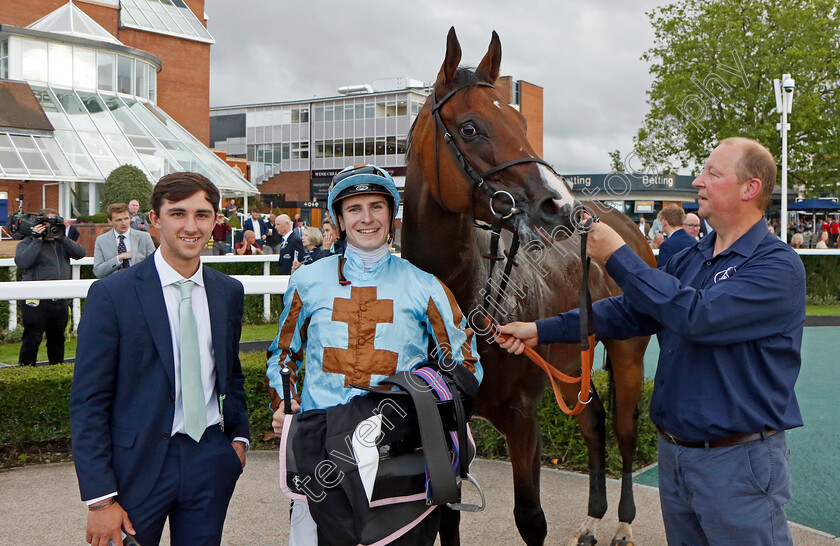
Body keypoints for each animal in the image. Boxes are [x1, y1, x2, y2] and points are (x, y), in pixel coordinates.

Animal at [402, 29, 656, 544]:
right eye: (470, 128)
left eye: (520, 119)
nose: (560, 205)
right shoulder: (448, 420)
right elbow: (448, 518)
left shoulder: (523, 419)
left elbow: (531, 519)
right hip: (573, 360)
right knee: (593, 422)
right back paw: (592, 519)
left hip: (628, 354)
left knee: (624, 431)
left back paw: (622, 522)